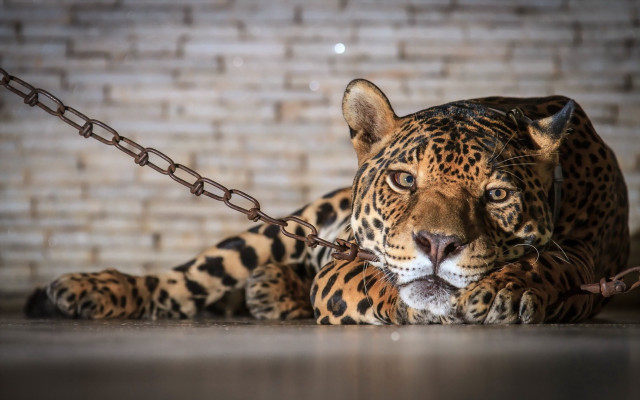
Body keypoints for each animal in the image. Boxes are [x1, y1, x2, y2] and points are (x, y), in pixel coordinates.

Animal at [25, 79, 629, 325]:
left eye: (497, 194)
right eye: (404, 180)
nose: (438, 244)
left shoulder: (589, 262)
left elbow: (561, 261)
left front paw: (513, 285)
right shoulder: (341, 264)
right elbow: (373, 283)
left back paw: (272, 291)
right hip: (286, 224)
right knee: (182, 281)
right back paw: (93, 289)